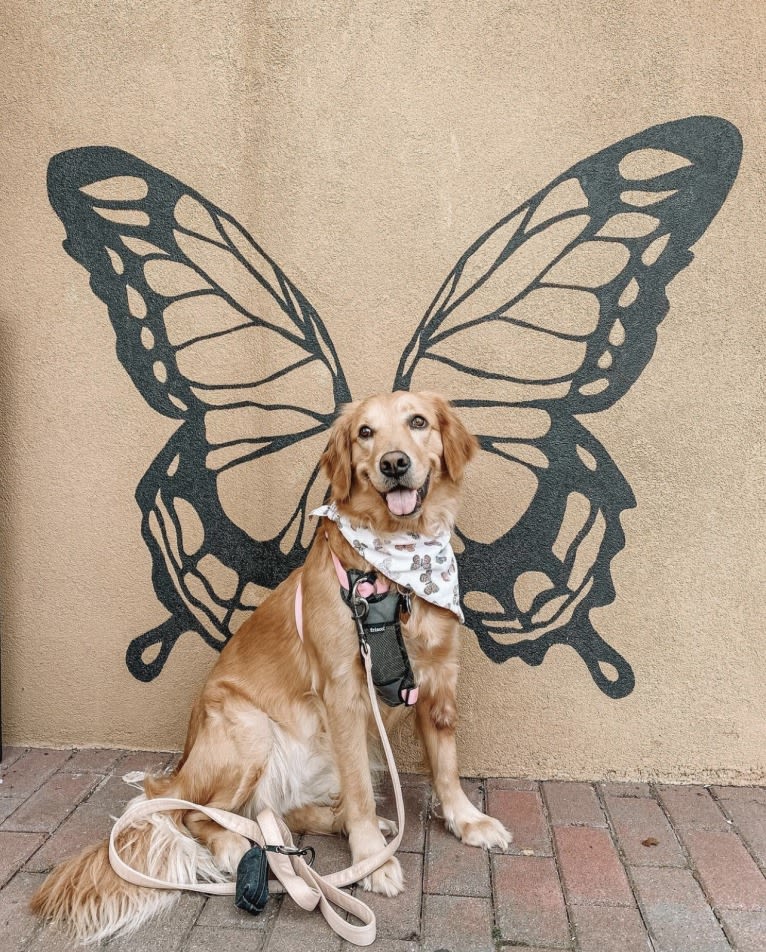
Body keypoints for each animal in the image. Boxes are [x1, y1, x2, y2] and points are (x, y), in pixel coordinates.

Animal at [31, 392, 510, 944]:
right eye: (366, 433)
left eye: (418, 422)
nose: (394, 464)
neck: (397, 565)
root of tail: (177, 774)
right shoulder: (344, 691)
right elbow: (363, 791)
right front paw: (372, 859)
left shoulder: (438, 680)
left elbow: (446, 766)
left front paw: (466, 820)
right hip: (248, 729)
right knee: (197, 813)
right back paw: (240, 845)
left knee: (275, 811)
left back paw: (336, 822)